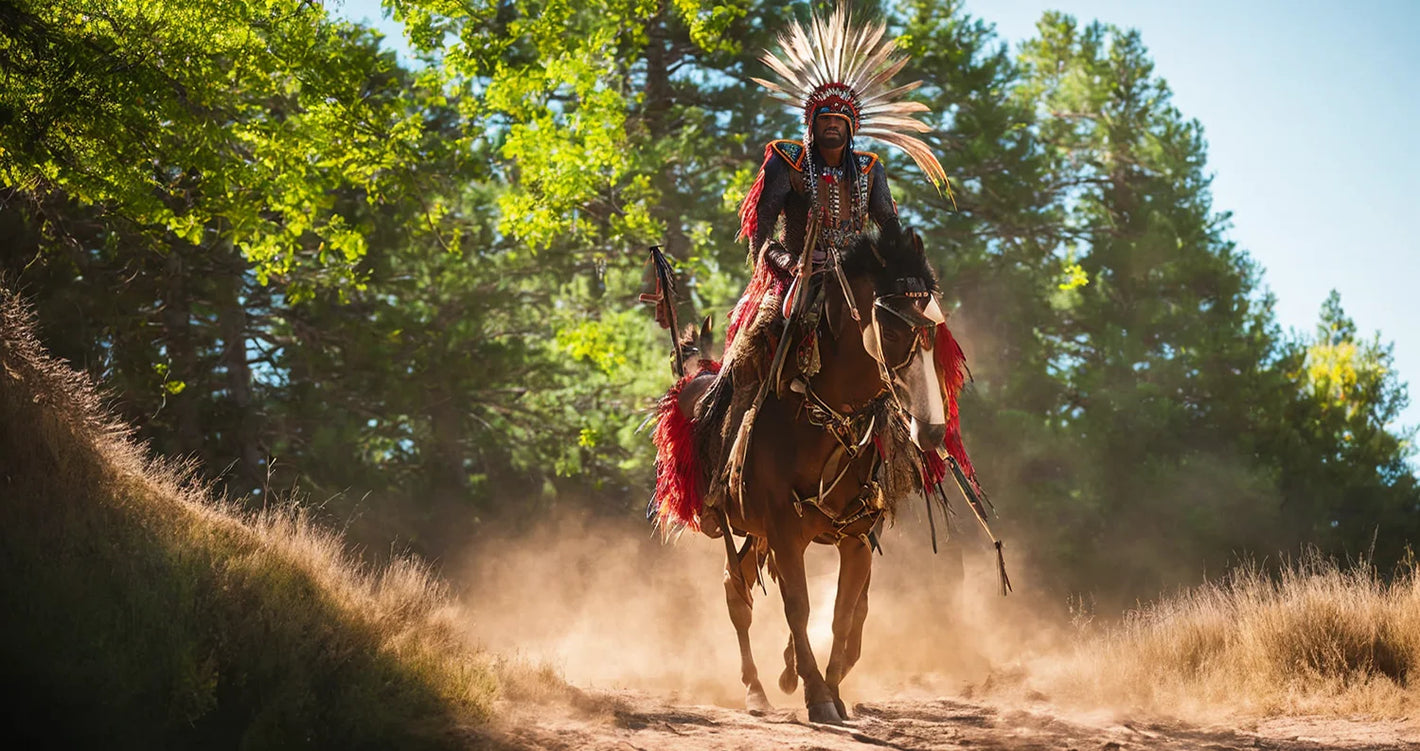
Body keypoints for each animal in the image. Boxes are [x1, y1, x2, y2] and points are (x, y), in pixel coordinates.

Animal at [650, 225, 959, 724]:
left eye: (934, 329)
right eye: (892, 328)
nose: (931, 431)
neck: (825, 417)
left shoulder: (856, 537)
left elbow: (845, 613)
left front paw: (829, 688)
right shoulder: (782, 529)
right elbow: (799, 606)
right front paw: (816, 694)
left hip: (762, 536)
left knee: (746, 588)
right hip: (742, 528)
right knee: (737, 596)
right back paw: (755, 690)